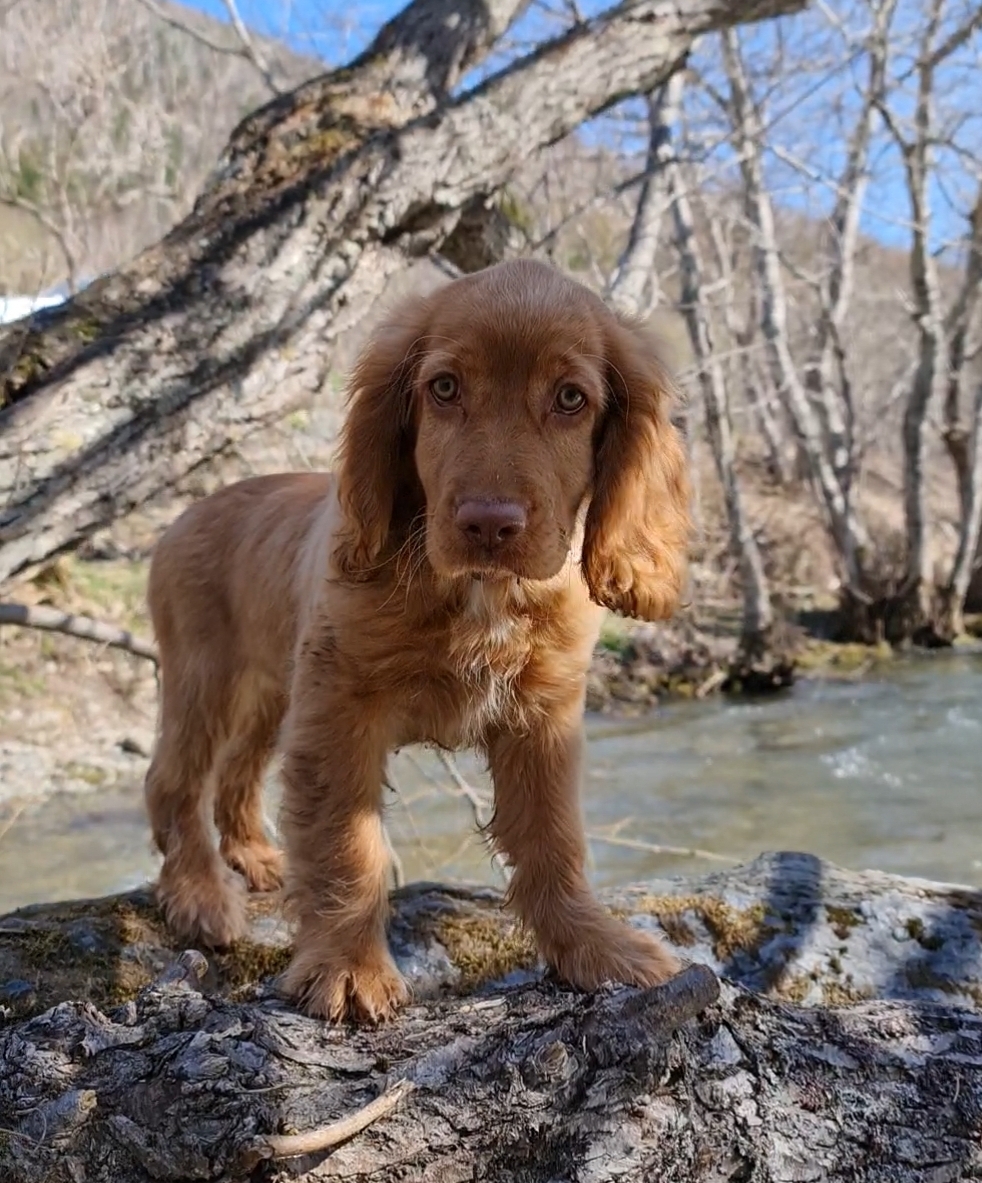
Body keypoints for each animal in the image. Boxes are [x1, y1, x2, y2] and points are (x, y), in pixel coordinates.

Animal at [146, 261, 690, 1026]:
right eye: (445, 388)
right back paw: (199, 891)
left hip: (270, 689)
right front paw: (348, 968)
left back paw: (253, 854)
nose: (489, 523)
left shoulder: (543, 719)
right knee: (174, 779)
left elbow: (553, 839)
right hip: (206, 676)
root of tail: (185, 514)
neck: (480, 597)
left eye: (571, 399)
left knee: (237, 773)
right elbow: (347, 842)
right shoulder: (339, 705)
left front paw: (593, 946)